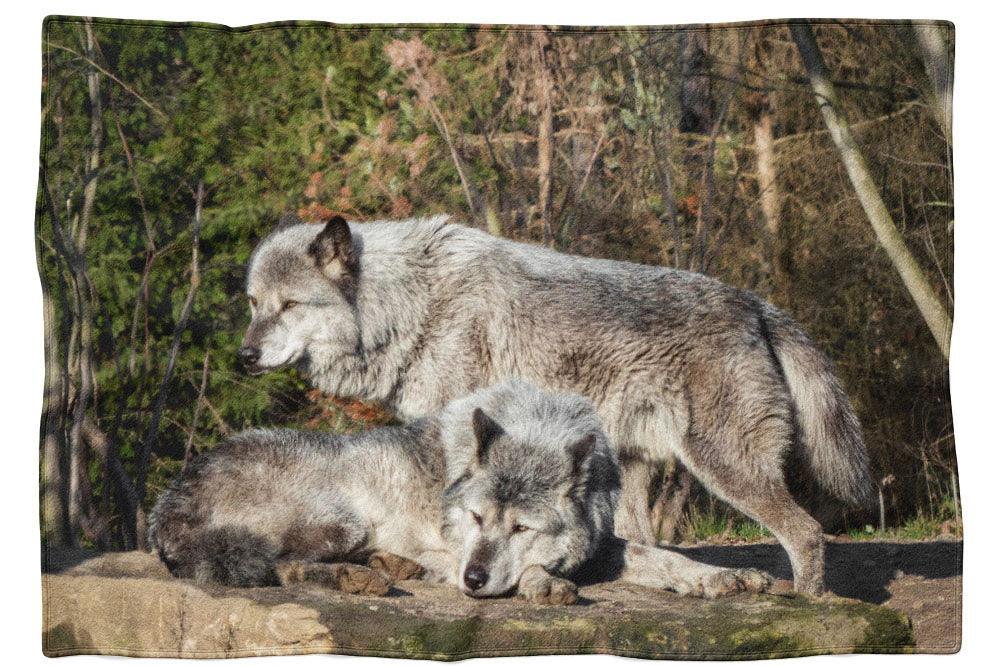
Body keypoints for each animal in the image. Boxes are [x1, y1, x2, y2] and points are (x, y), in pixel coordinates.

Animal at [150, 378, 772, 600]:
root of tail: (167, 503)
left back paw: (386, 567)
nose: (472, 579)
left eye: (520, 526)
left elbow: (660, 556)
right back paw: (359, 577)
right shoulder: (451, 546)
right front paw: (543, 584)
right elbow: (532, 572)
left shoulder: (602, 544)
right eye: (475, 519)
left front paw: (724, 578)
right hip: (341, 518)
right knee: (278, 564)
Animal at [238, 213, 872, 592]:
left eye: (289, 305)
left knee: (807, 533)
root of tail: (756, 305)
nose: (243, 357)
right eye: (252, 303)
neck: (411, 306)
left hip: (724, 468)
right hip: (636, 470)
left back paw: (805, 603)